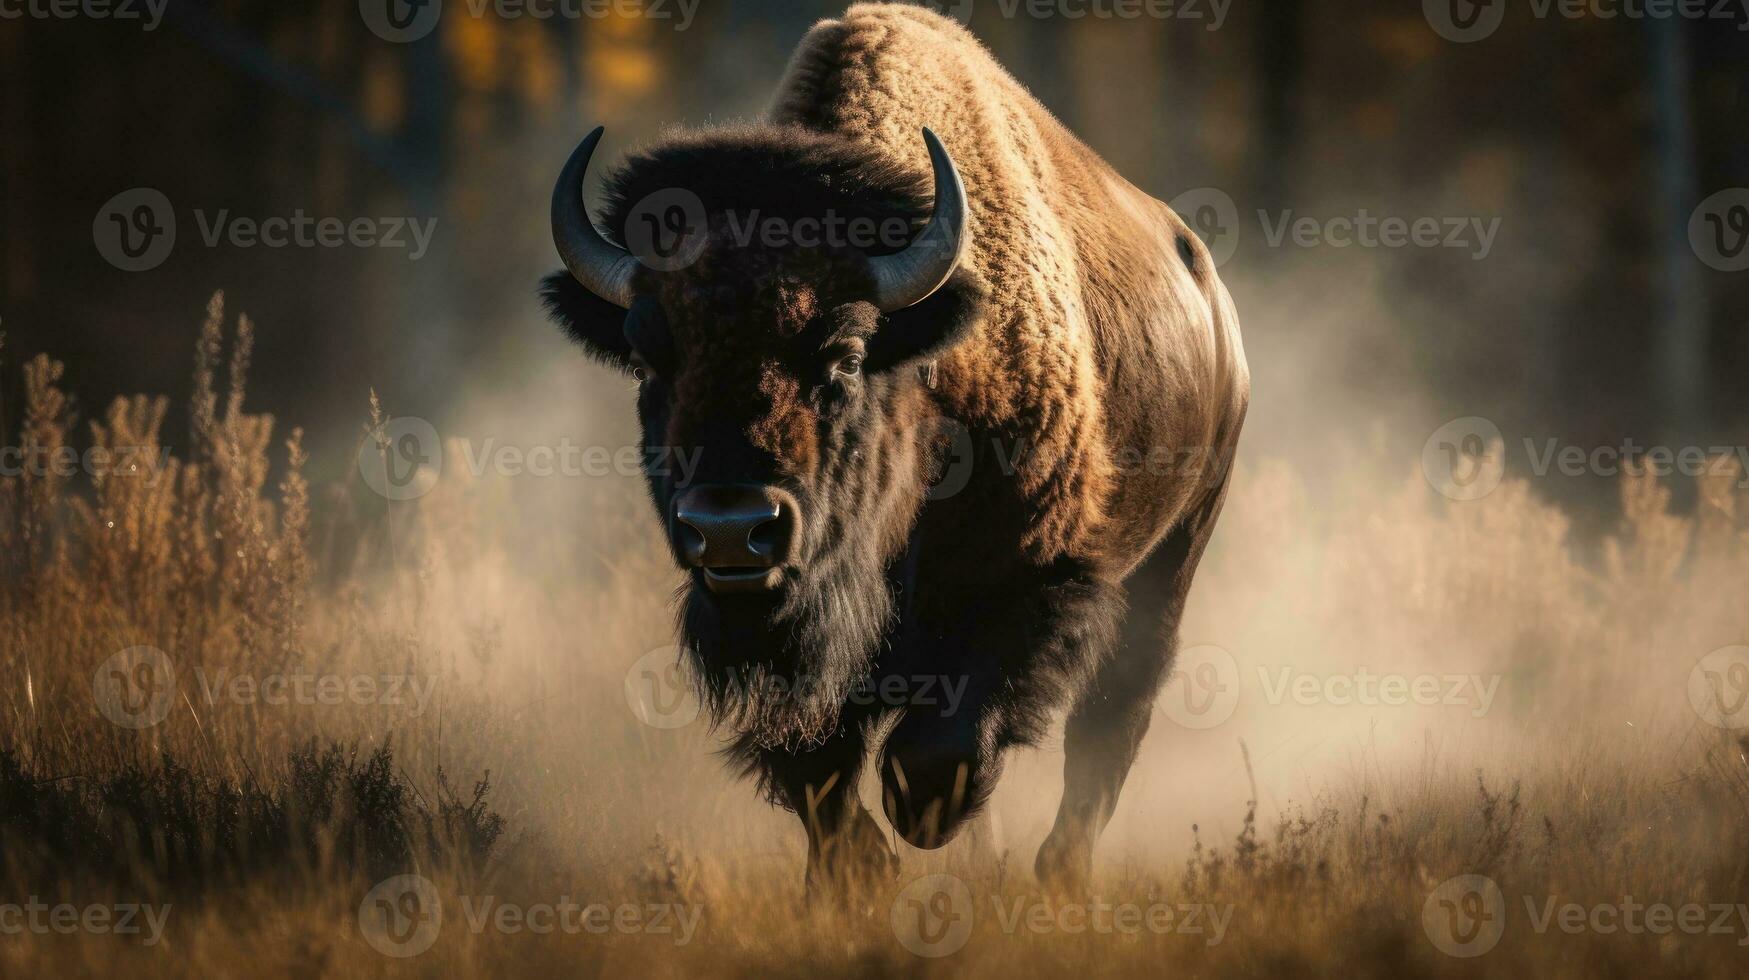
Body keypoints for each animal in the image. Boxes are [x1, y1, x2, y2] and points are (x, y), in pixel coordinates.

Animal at [542, 1, 1245, 889]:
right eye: (647, 362)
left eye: (843, 357)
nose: (731, 531)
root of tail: (1214, 303)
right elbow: (818, 773)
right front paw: (858, 876)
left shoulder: (1026, 580)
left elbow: (933, 764)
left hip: (1173, 557)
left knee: (1109, 727)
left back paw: (1057, 874)